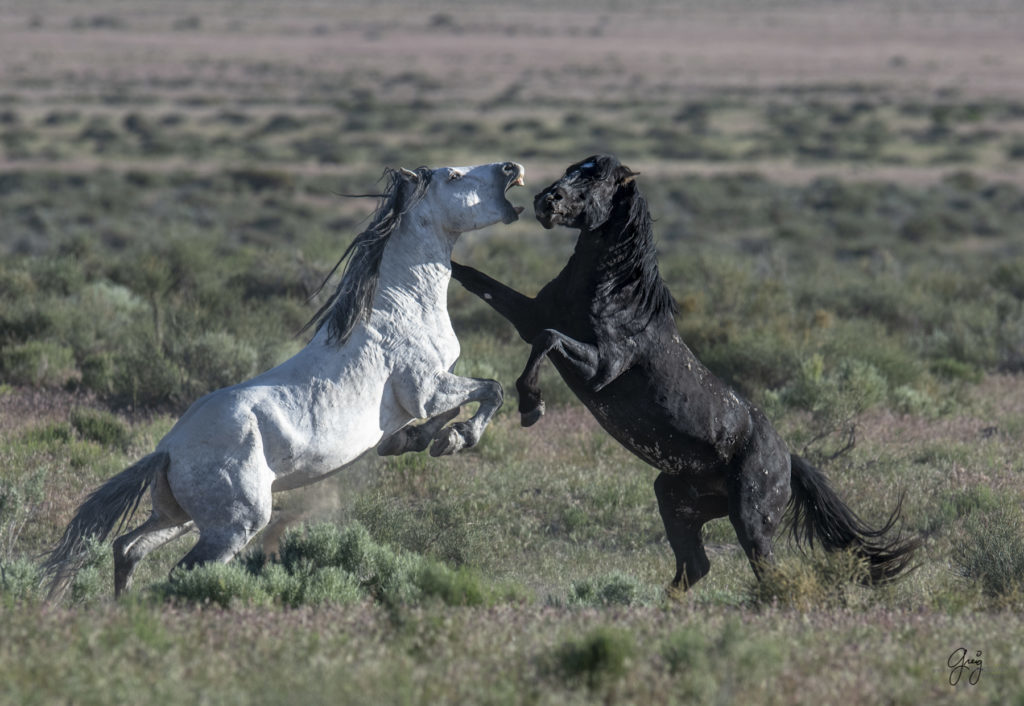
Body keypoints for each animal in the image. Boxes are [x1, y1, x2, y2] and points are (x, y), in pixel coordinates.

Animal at [43, 158, 524, 594]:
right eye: (454, 175)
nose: (511, 168)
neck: (401, 305)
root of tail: (167, 450)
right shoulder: (427, 387)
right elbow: (491, 391)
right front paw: (455, 440)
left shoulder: (431, 389)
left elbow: (453, 409)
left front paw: (416, 441)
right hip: (235, 524)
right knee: (182, 569)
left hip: (178, 517)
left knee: (128, 548)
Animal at [452, 153, 917, 590]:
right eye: (571, 169)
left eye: (598, 180)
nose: (547, 200)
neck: (614, 291)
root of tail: (788, 459)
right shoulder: (530, 318)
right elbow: (480, 283)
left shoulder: (602, 367)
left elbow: (548, 340)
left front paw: (531, 406)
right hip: (677, 502)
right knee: (695, 566)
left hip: (752, 523)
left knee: (765, 571)